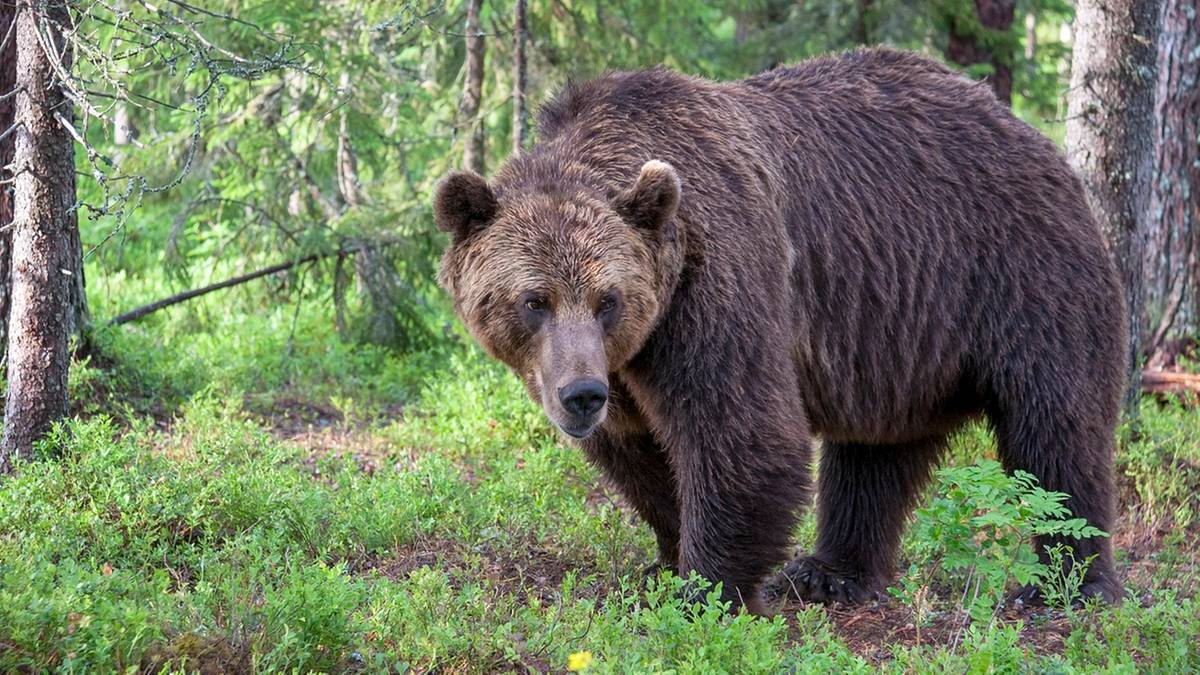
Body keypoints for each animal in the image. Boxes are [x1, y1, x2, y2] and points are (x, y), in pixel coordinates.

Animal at [432, 47, 1123, 612]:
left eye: (609, 299)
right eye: (535, 301)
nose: (581, 396)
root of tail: (1033, 134)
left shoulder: (716, 283)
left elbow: (742, 429)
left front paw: (705, 589)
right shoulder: (629, 361)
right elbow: (638, 451)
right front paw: (663, 562)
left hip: (1022, 274)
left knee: (1057, 429)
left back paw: (1067, 583)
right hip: (897, 335)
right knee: (875, 454)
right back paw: (829, 573)